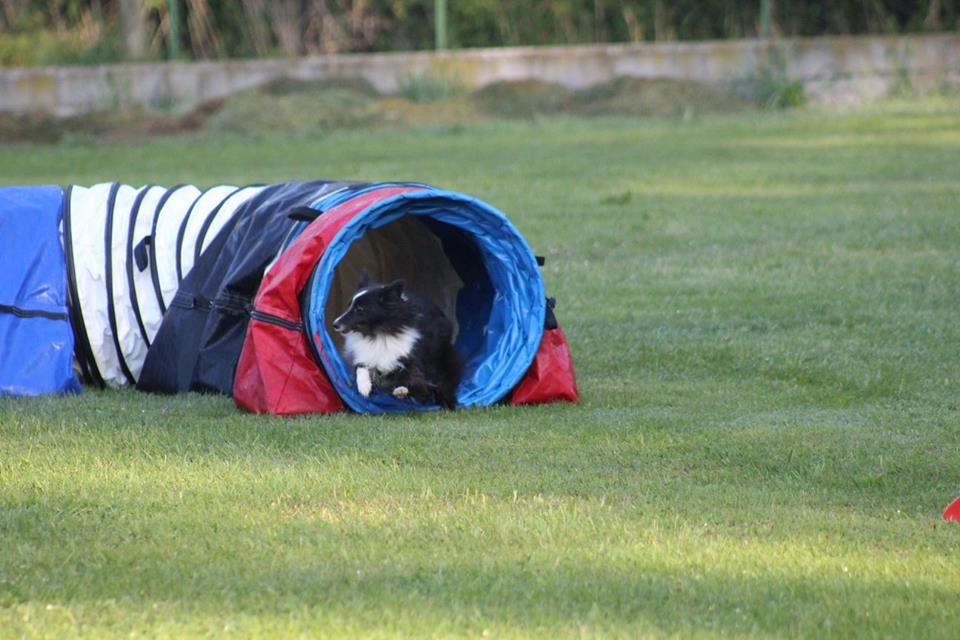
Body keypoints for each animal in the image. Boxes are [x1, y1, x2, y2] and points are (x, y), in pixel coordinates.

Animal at [332, 276, 464, 408]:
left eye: (359, 309)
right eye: (348, 305)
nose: (335, 324)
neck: (379, 334)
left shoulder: (412, 361)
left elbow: (417, 385)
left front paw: (403, 391)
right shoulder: (365, 354)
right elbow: (361, 366)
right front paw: (364, 387)